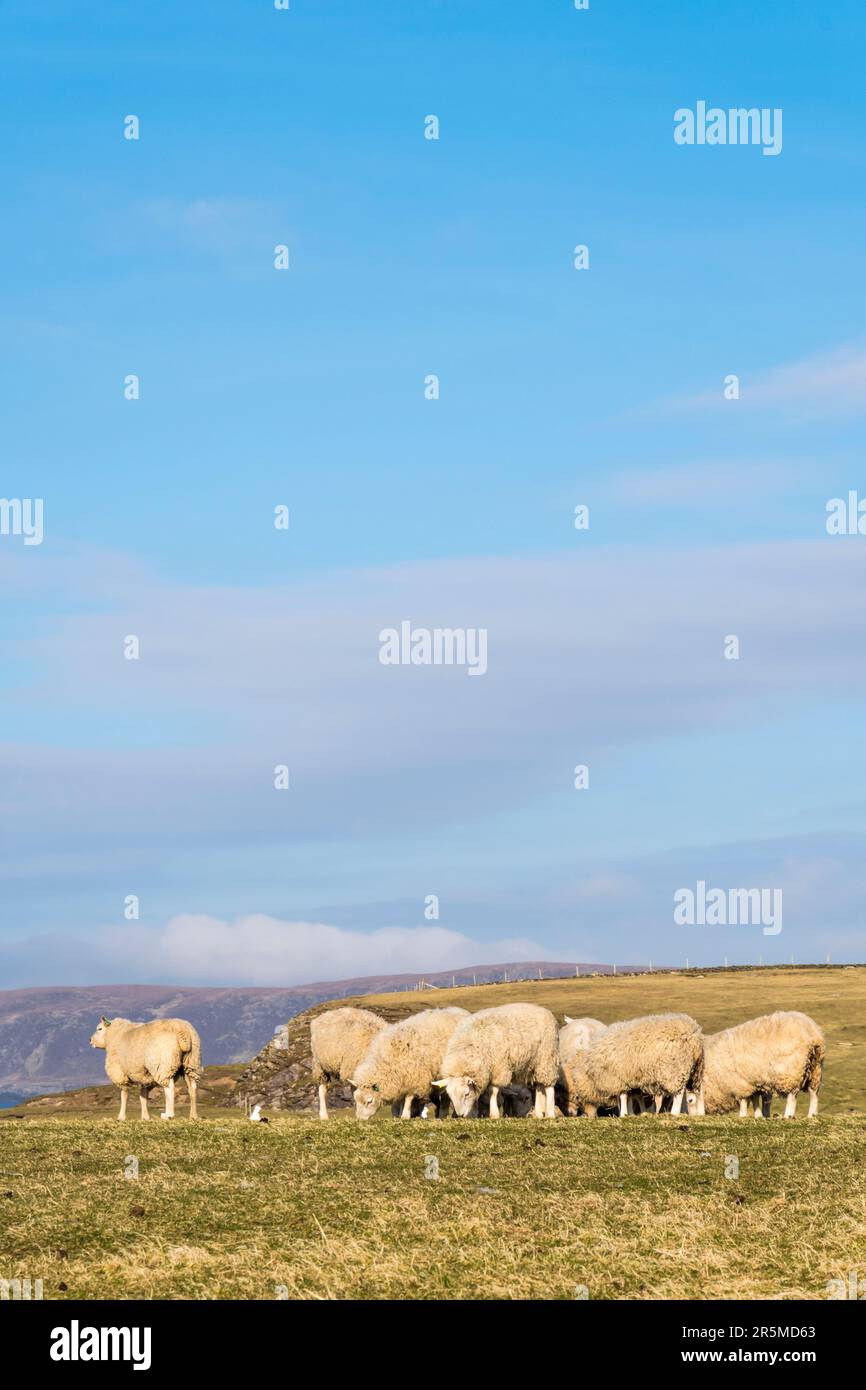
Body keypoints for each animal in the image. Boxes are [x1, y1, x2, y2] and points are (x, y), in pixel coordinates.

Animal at [433, 1000, 561, 1117]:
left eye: (466, 1094)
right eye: (450, 1096)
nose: (460, 1115)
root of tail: (543, 1009)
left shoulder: (498, 1068)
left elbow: (492, 1092)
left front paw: (494, 1114)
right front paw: (473, 1114)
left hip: (547, 1057)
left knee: (549, 1087)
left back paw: (550, 1113)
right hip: (534, 1064)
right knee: (539, 1086)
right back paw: (539, 1114)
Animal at [575, 1011, 706, 1117]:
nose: (587, 1115)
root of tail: (694, 1036)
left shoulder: (619, 1078)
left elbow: (623, 1097)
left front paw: (623, 1113)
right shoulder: (631, 1080)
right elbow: (632, 1098)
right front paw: (632, 1113)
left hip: (675, 1068)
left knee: (679, 1092)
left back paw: (674, 1112)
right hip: (696, 1069)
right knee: (698, 1091)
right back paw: (700, 1112)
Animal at [683, 1011, 828, 1117]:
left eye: (690, 1101)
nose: (692, 1117)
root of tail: (813, 1035)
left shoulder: (740, 1084)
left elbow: (744, 1102)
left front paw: (743, 1116)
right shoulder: (754, 1083)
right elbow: (755, 1101)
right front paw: (758, 1116)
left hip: (791, 1072)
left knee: (792, 1096)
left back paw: (788, 1115)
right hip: (815, 1069)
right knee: (814, 1094)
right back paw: (812, 1115)